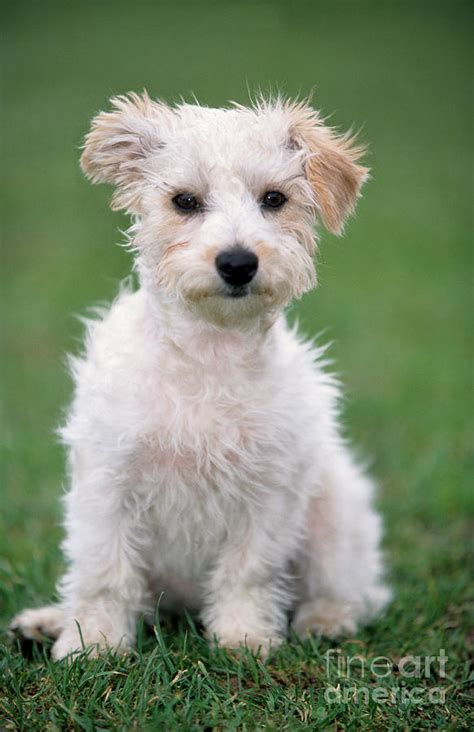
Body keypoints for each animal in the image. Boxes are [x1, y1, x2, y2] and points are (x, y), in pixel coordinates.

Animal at [10, 91, 388, 656]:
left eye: (274, 199)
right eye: (184, 201)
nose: (237, 263)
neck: (209, 351)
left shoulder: (269, 490)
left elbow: (248, 572)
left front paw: (243, 639)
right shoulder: (107, 483)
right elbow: (104, 574)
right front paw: (91, 643)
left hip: (335, 514)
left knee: (354, 590)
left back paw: (325, 618)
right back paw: (49, 621)